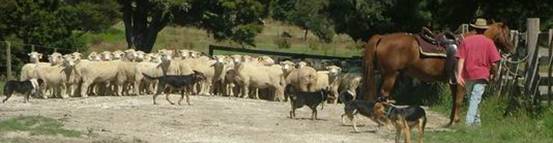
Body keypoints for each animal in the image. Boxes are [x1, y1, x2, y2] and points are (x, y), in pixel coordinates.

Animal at [362, 22, 512, 125]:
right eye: (508, 33)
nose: (511, 48)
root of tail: (382, 37)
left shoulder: (453, 82)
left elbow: (454, 100)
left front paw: (451, 120)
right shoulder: (460, 82)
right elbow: (458, 100)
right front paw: (456, 121)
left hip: (385, 74)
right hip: (391, 75)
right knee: (383, 95)